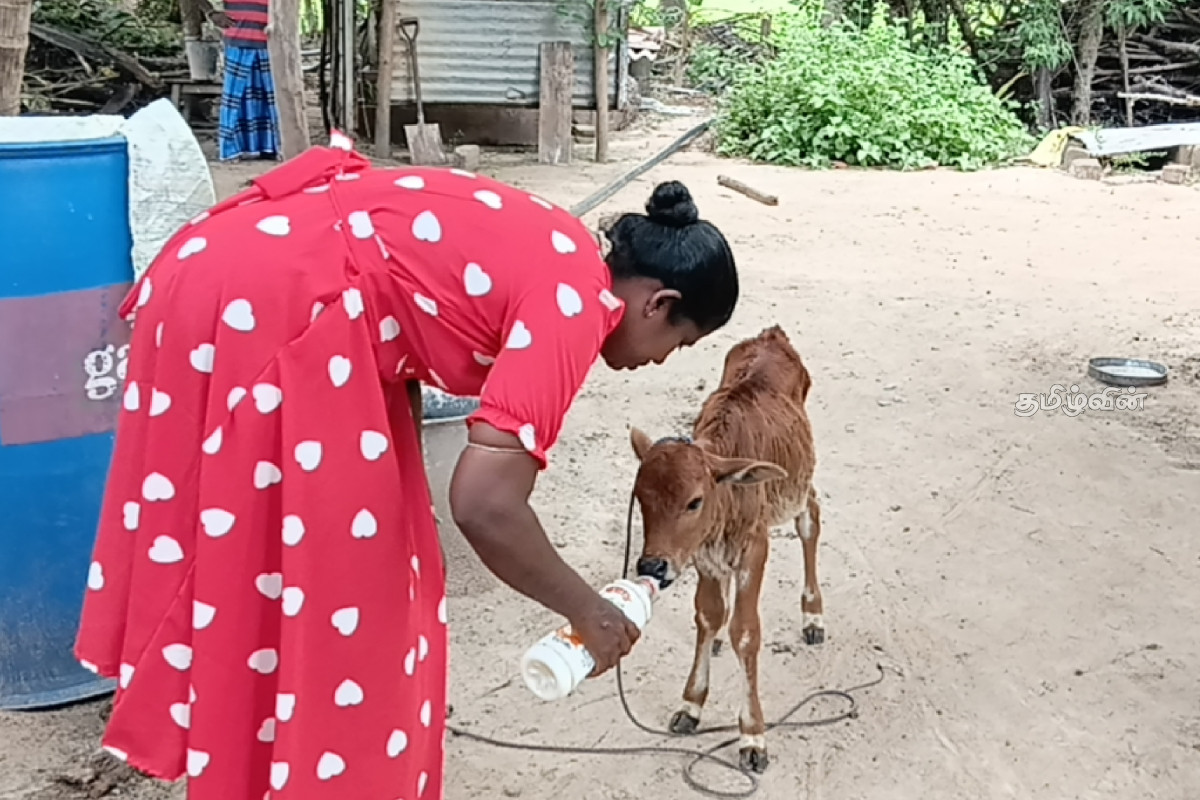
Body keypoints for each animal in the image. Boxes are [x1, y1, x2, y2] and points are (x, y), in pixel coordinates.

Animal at [629, 324, 823, 774]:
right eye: (641, 498)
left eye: (694, 501)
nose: (653, 565)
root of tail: (773, 334)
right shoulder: (702, 556)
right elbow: (707, 615)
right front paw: (691, 704)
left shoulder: (755, 546)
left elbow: (746, 632)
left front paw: (752, 735)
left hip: (798, 483)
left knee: (810, 516)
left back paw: (813, 615)